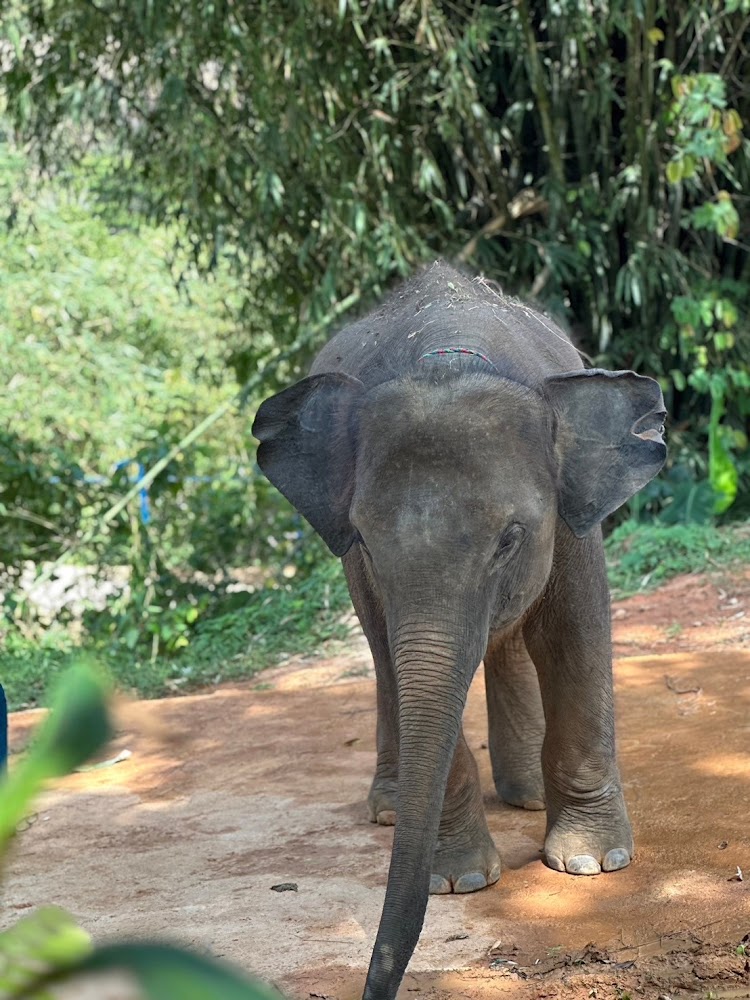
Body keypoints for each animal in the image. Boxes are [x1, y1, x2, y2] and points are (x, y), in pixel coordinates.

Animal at [252, 260, 666, 1000]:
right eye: (365, 537)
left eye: (509, 540)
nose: (373, 989)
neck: (448, 362)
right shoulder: (363, 566)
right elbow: (395, 653)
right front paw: (463, 881)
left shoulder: (572, 519)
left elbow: (576, 634)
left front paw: (593, 863)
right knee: (387, 665)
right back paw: (393, 809)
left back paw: (526, 797)